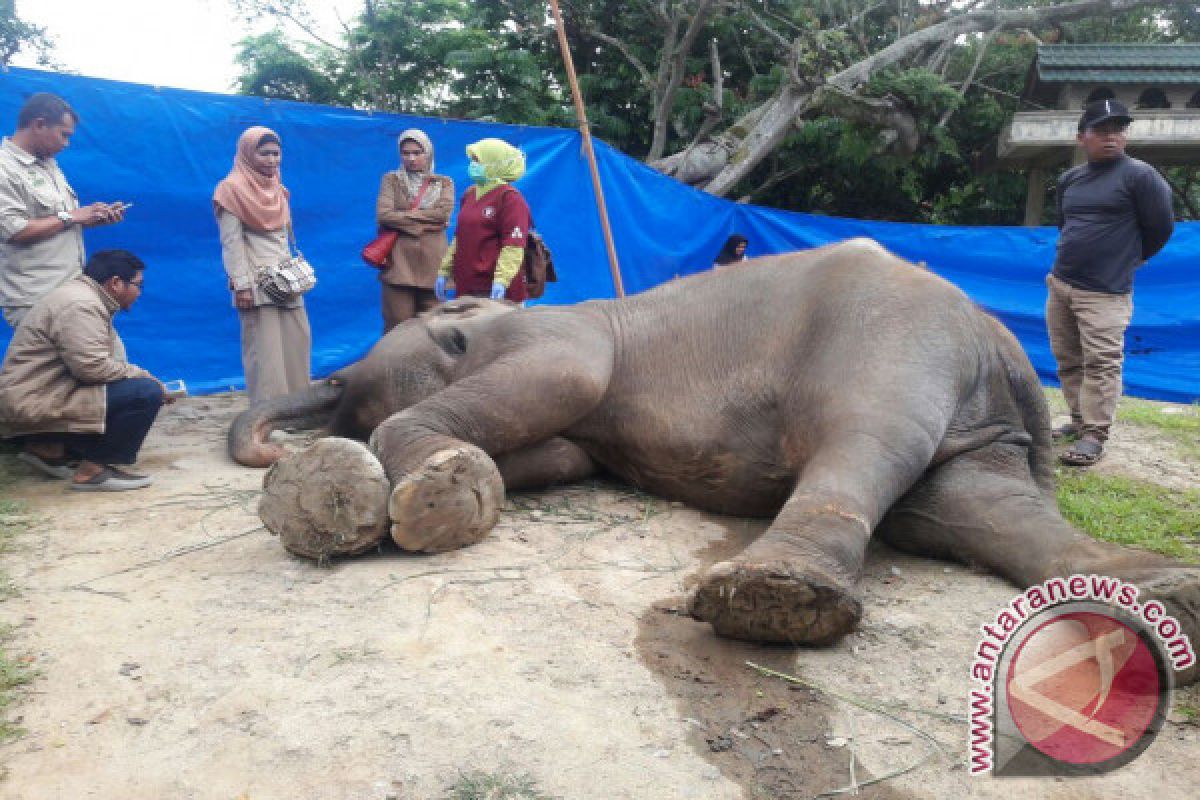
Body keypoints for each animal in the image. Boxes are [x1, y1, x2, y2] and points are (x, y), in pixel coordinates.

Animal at [231, 237, 1200, 681]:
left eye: (450, 333)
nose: (283, 438)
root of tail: (999, 340)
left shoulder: (562, 334)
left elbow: (563, 380)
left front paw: (417, 501)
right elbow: (559, 457)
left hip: (892, 341)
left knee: (868, 438)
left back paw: (770, 603)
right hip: (978, 416)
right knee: (967, 502)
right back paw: (1160, 598)